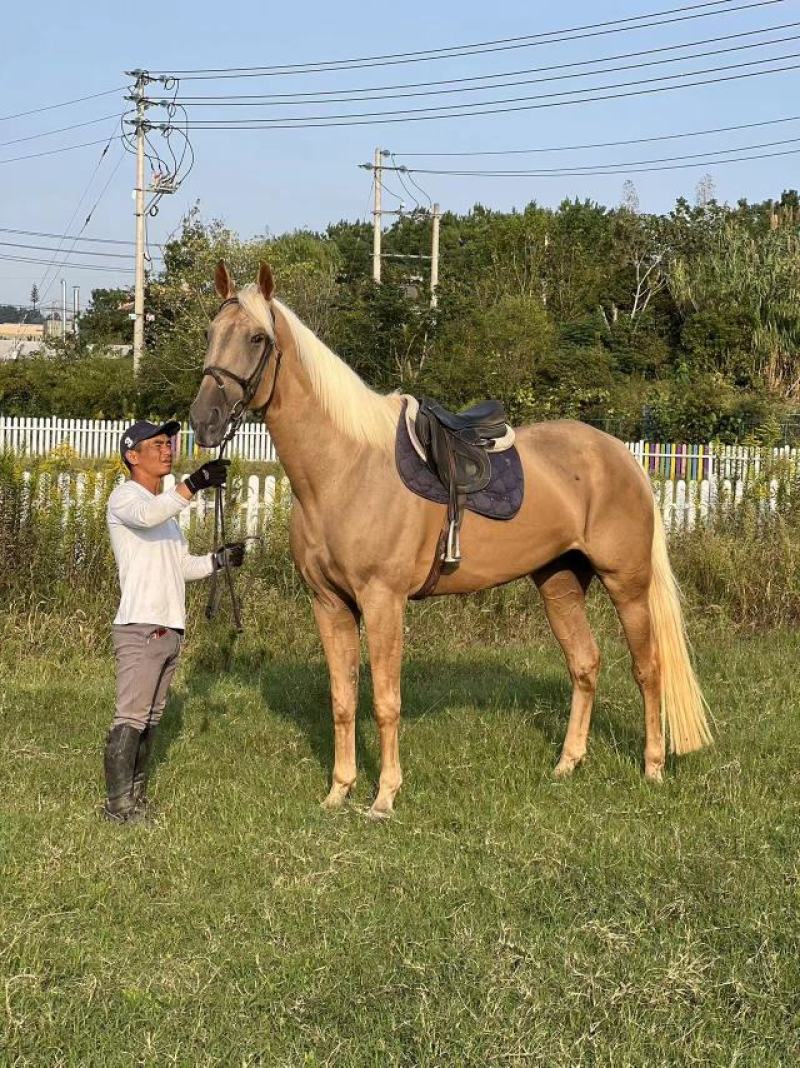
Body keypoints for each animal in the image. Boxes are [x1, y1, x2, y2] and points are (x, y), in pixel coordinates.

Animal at [189, 261, 711, 818]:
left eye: (257, 337)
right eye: (210, 333)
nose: (203, 420)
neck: (344, 470)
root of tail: (622, 455)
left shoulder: (383, 601)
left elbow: (385, 701)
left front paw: (384, 797)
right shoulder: (328, 603)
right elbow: (343, 699)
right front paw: (338, 791)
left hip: (626, 584)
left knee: (648, 668)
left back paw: (653, 767)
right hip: (559, 582)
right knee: (585, 663)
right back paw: (568, 763)